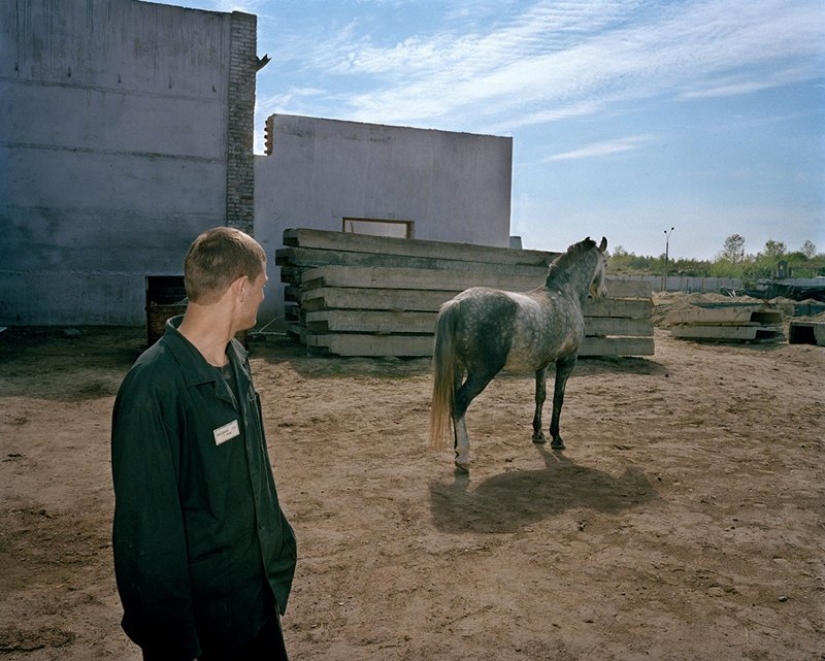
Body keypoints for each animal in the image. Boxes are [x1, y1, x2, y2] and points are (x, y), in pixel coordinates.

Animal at [428, 236, 608, 470]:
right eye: (606, 263)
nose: (603, 293)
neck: (564, 294)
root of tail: (458, 303)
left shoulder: (542, 364)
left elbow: (540, 395)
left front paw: (538, 434)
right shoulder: (567, 361)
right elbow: (558, 398)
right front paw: (557, 438)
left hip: (458, 368)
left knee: (453, 402)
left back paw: (457, 450)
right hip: (481, 374)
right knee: (460, 402)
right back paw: (464, 455)